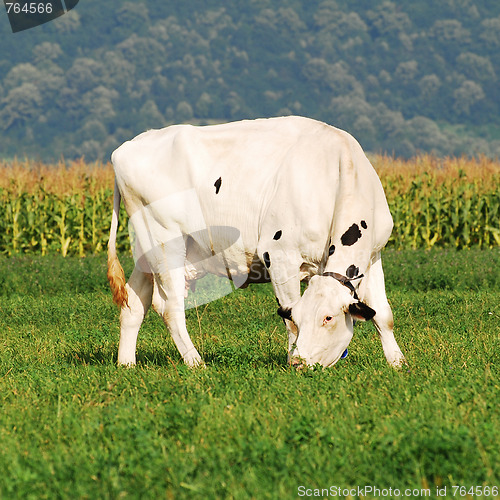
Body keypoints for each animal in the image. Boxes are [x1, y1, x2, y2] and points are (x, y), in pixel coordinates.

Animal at [108, 115, 406, 370]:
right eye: (304, 317)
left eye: (328, 318)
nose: (300, 363)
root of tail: (125, 148)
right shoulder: (279, 255)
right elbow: (289, 321)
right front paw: (289, 359)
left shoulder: (373, 256)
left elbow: (383, 315)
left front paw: (398, 363)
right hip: (164, 240)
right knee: (169, 307)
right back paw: (196, 363)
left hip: (148, 251)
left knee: (133, 303)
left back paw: (127, 364)